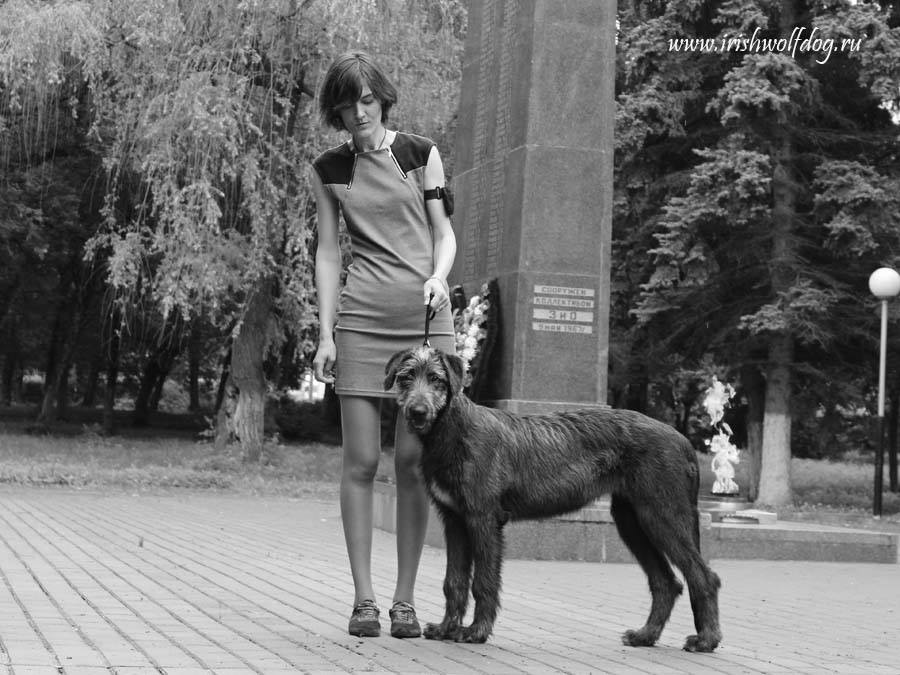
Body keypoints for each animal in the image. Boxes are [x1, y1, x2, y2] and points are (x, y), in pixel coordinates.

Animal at [384, 346, 720, 652]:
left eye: (436, 379)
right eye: (406, 377)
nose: (417, 412)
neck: (452, 430)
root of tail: (684, 441)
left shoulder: (483, 519)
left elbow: (483, 581)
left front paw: (477, 631)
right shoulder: (454, 521)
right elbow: (453, 581)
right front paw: (446, 628)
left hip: (663, 515)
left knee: (704, 576)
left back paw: (706, 639)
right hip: (632, 522)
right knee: (666, 582)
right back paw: (645, 635)